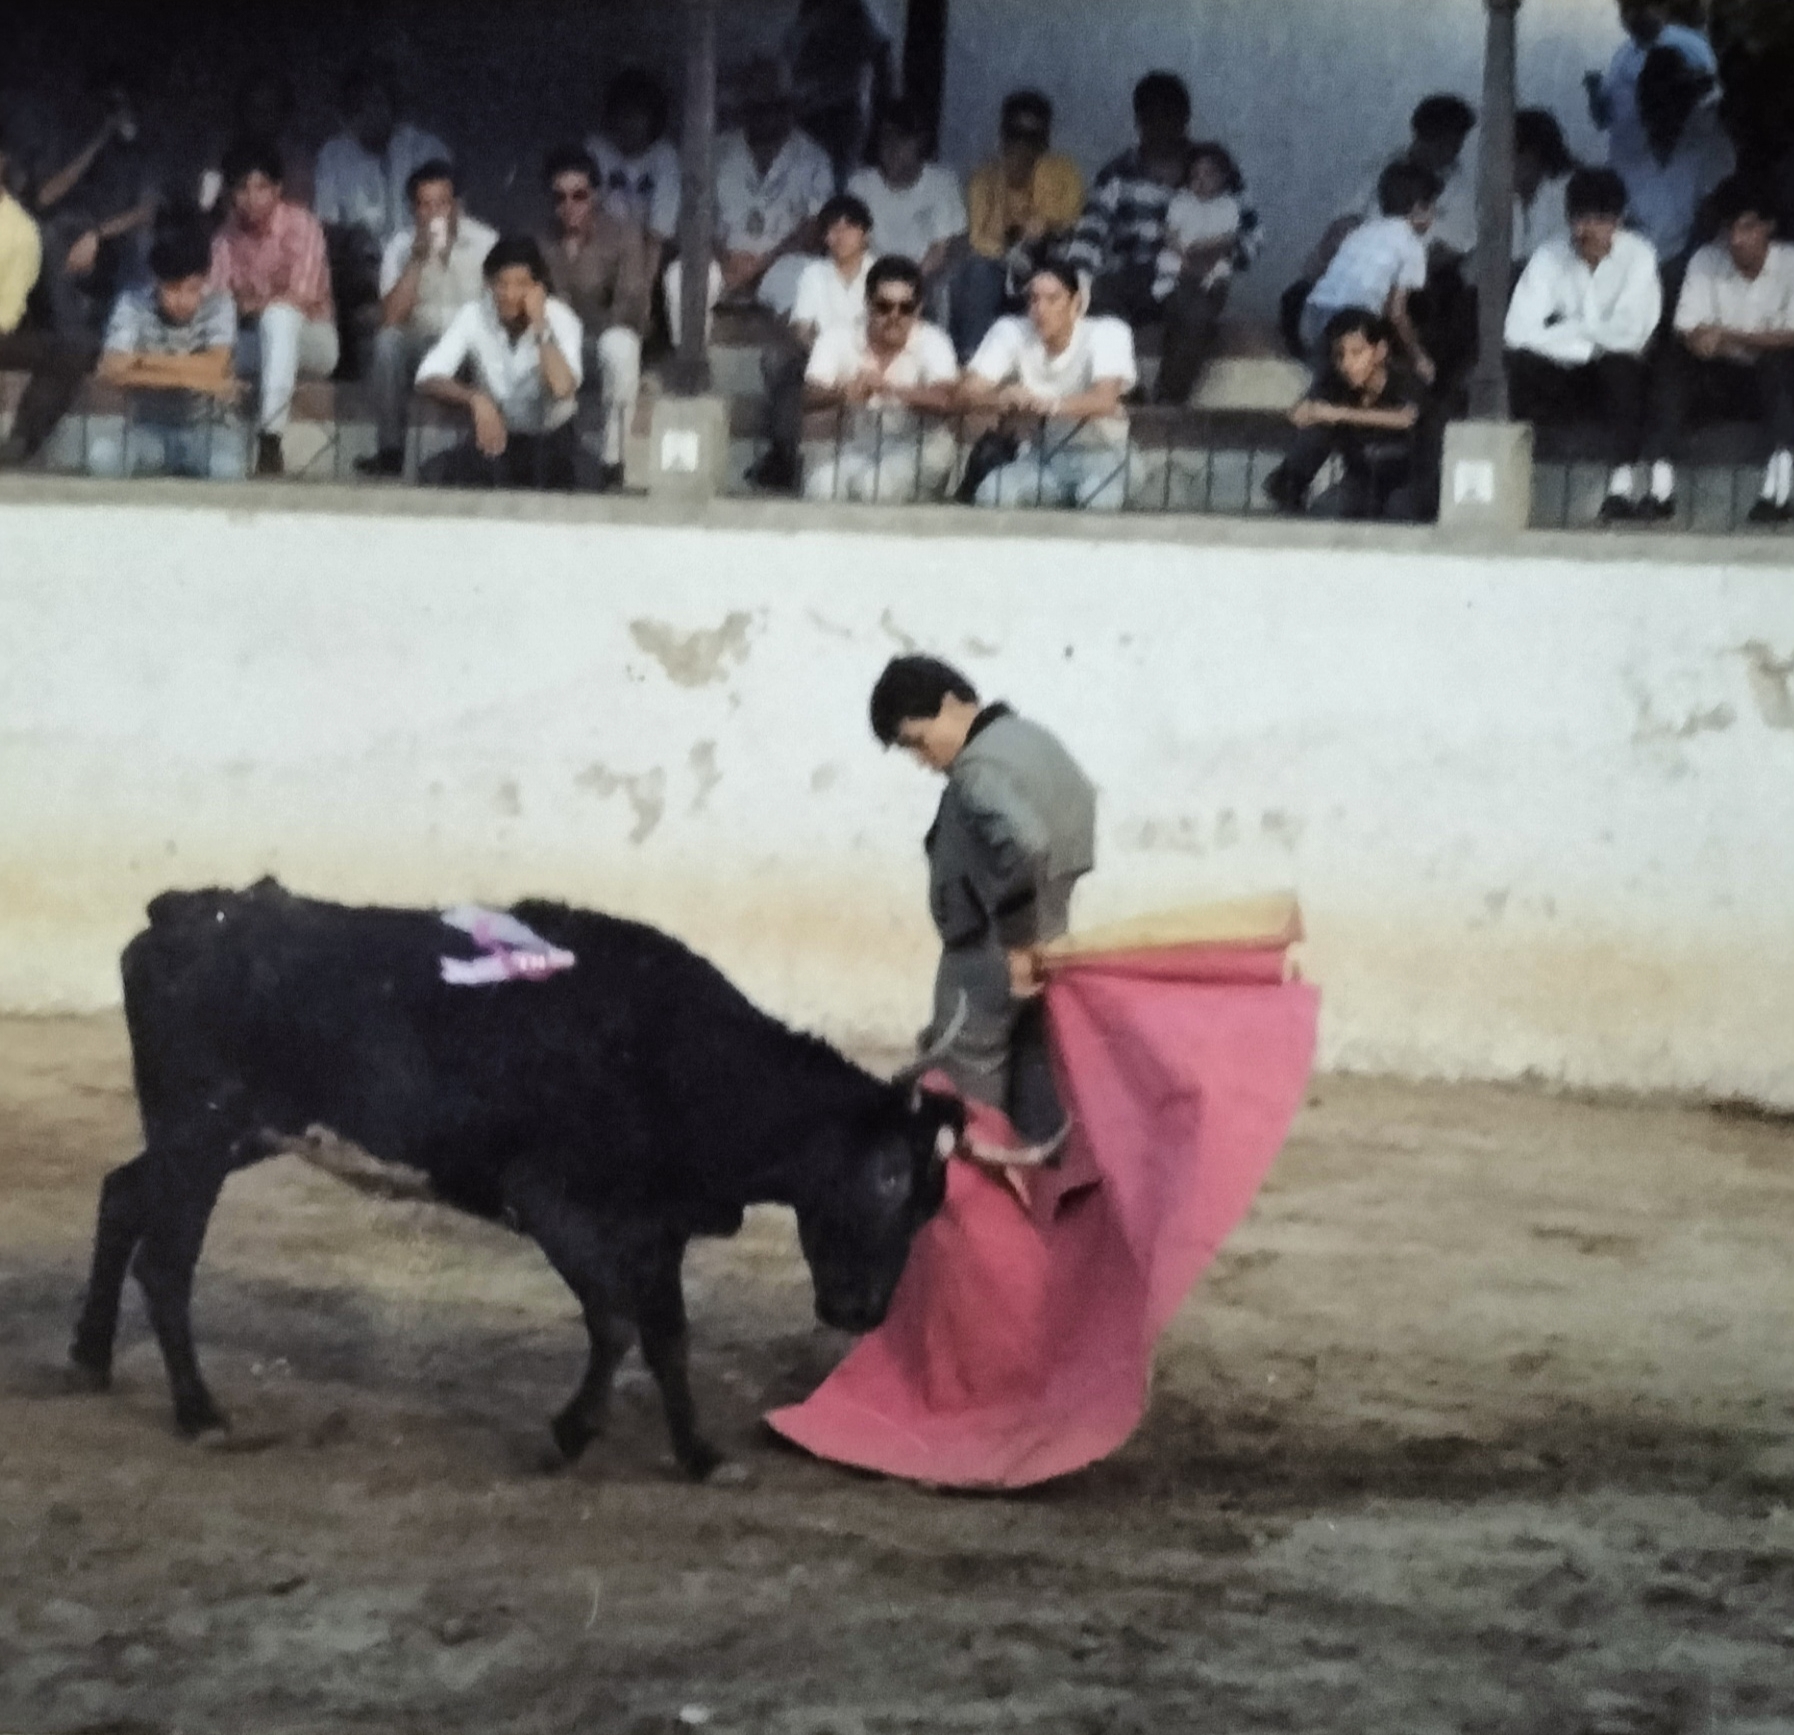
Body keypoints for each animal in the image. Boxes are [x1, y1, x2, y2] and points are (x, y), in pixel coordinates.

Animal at [69, 882, 968, 1478]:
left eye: (932, 1202)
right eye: (888, 1173)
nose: (862, 1312)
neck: (678, 1055)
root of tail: (183, 913)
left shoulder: (658, 1226)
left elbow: (667, 1334)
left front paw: (698, 1453)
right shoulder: (551, 1202)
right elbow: (615, 1319)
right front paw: (573, 1431)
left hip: (224, 1137)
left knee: (120, 1193)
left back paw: (90, 1360)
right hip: (200, 1132)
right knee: (166, 1259)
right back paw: (200, 1413)